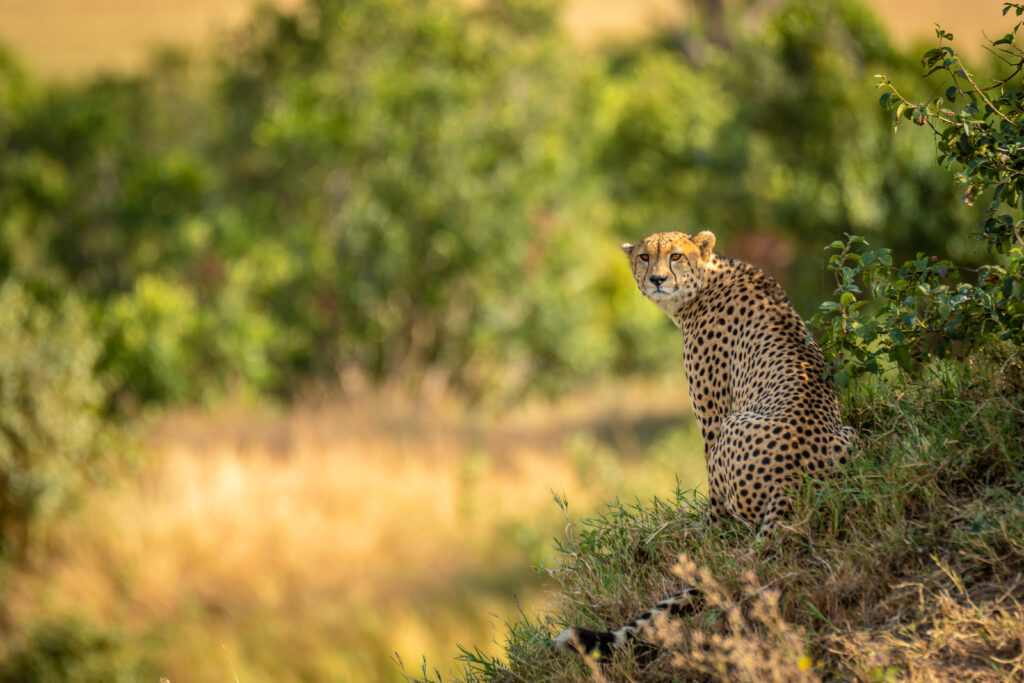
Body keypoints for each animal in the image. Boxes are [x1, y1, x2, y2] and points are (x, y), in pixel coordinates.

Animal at [555, 230, 856, 657]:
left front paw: (706, 535)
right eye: (645, 257)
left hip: (733, 425)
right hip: (849, 436)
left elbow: (712, 495)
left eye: (675, 256)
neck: (706, 283)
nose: (657, 279)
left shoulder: (713, 417)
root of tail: (789, 484)